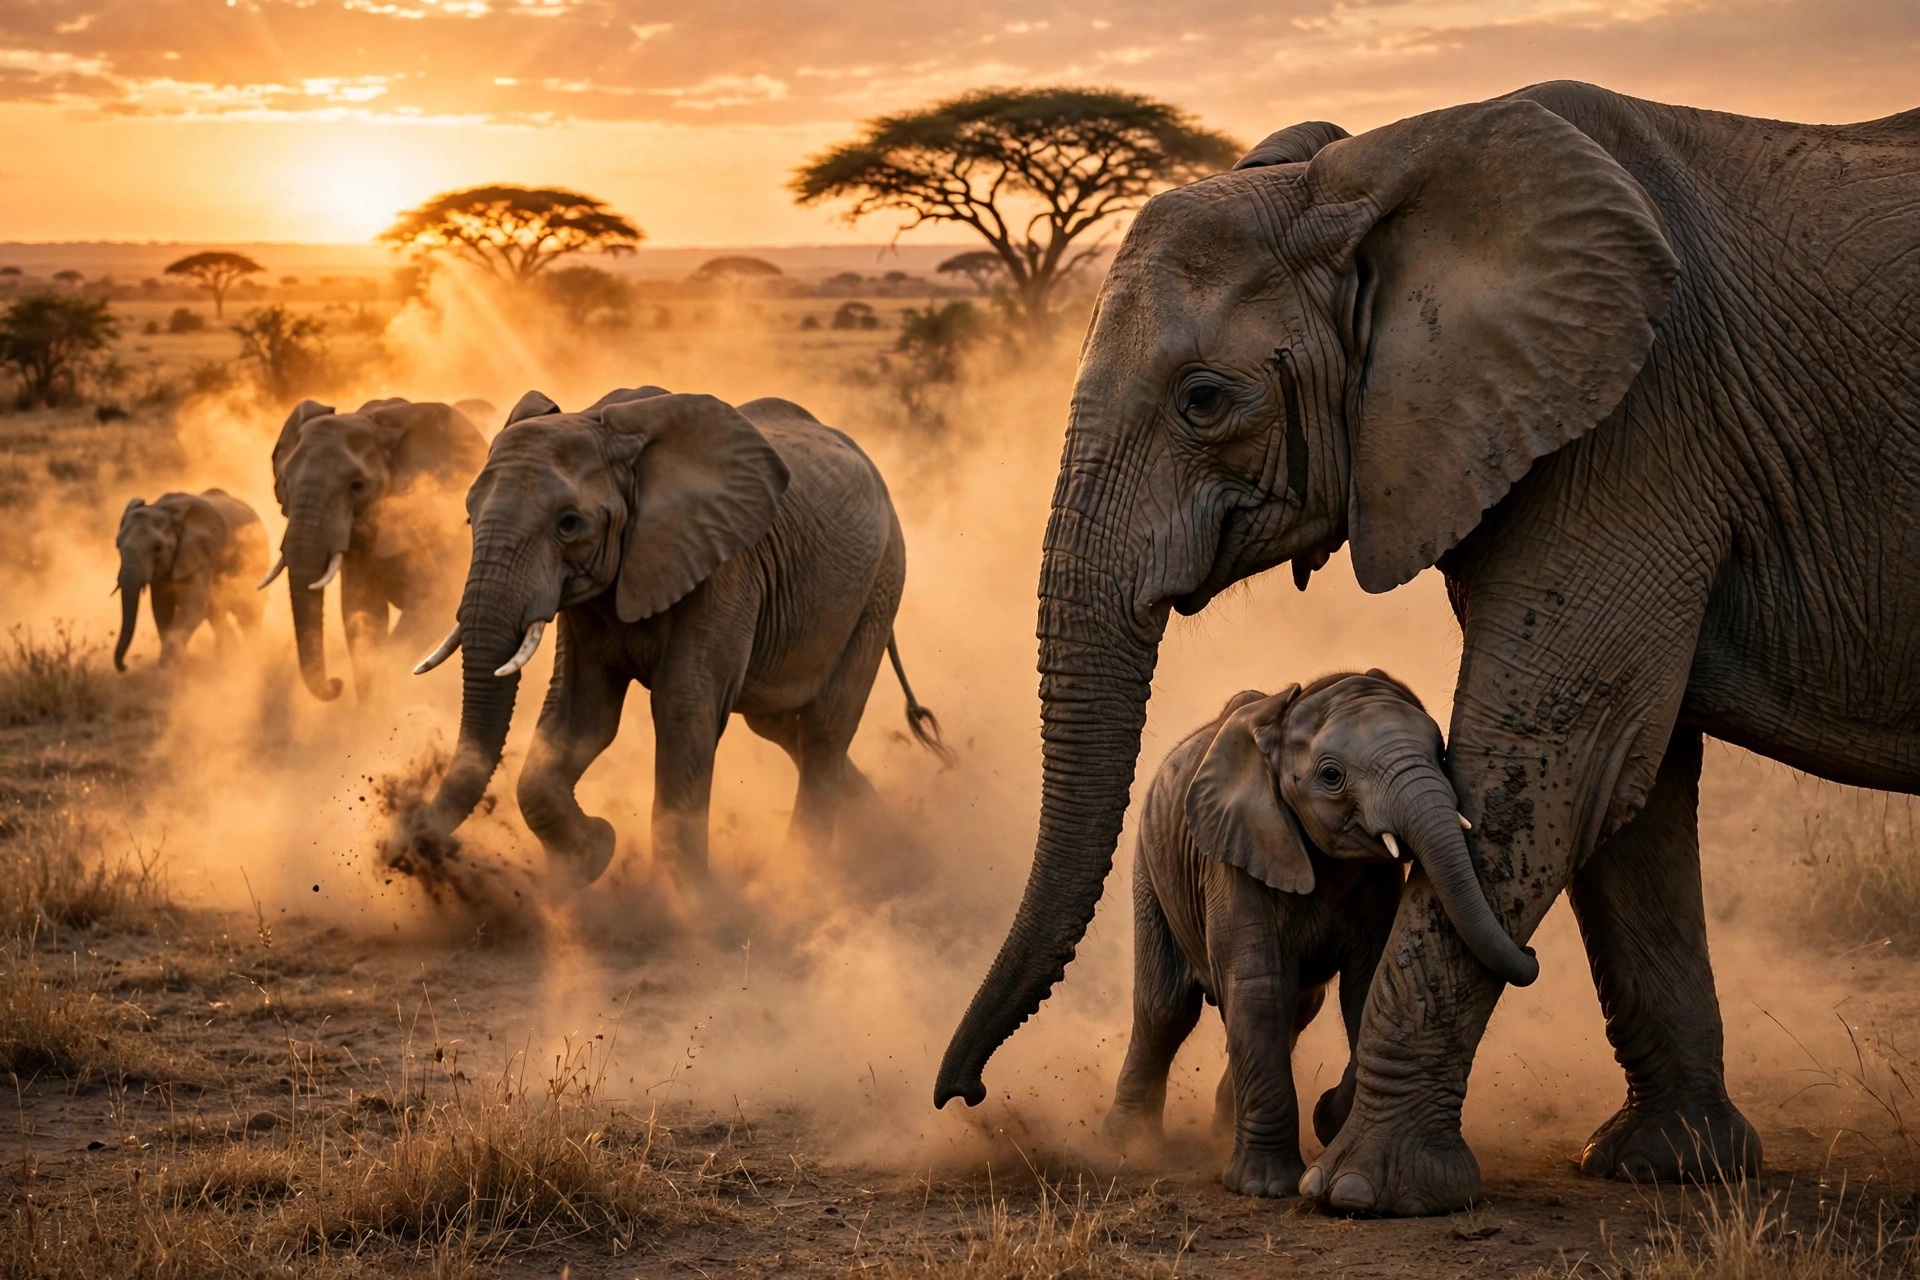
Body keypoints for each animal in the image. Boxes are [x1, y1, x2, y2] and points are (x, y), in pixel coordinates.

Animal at [114, 489, 267, 671]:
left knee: (248, 612)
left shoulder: (198, 557)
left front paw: (167, 670)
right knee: (217, 612)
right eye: (117, 545)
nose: (124, 666)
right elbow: (161, 608)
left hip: (256, 561)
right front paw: (174, 667)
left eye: (157, 548)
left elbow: (193, 607)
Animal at [409, 385, 949, 886]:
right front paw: (594, 853)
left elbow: (682, 712)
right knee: (780, 724)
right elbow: (581, 716)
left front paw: (693, 908)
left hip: (880, 585)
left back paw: (802, 881)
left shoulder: (723, 569)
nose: (414, 845)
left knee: (824, 729)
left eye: (569, 524)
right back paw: (885, 841)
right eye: (468, 516)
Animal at [1107, 673, 1464, 1197]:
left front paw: (1329, 1119)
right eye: (1332, 776)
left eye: (1440, 754)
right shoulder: (1235, 856)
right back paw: (1130, 1144)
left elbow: (1365, 987)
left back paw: (1220, 1128)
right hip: (1151, 866)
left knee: (1300, 1006)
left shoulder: (1377, 879)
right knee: (1165, 1009)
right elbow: (1259, 988)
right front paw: (1265, 1187)